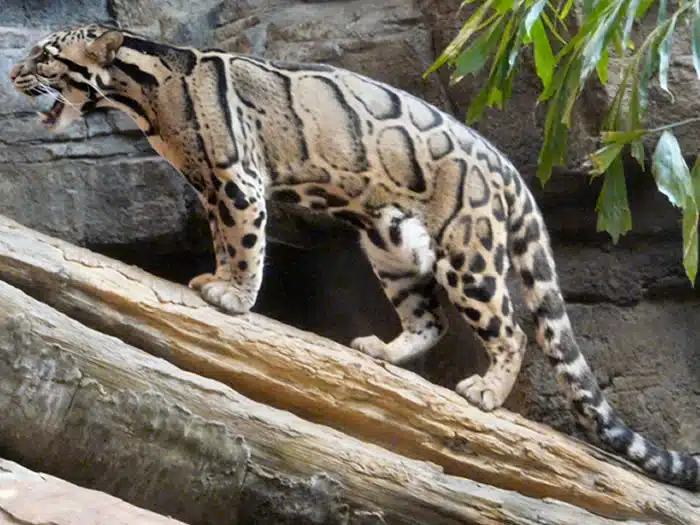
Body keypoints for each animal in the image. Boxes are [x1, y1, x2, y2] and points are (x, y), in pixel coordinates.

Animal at [10, 23, 699, 490]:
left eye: (46, 54)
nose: (14, 75)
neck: (145, 95)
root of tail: (507, 168)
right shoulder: (212, 187)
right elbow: (224, 239)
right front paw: (219, 278)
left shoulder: (236, 178)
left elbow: (244, 241)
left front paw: (233, 295)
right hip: (390, 241)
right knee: (429, 318)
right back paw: (385, 352)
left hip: (467, 250)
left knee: (511, 328)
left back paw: (486, 389)